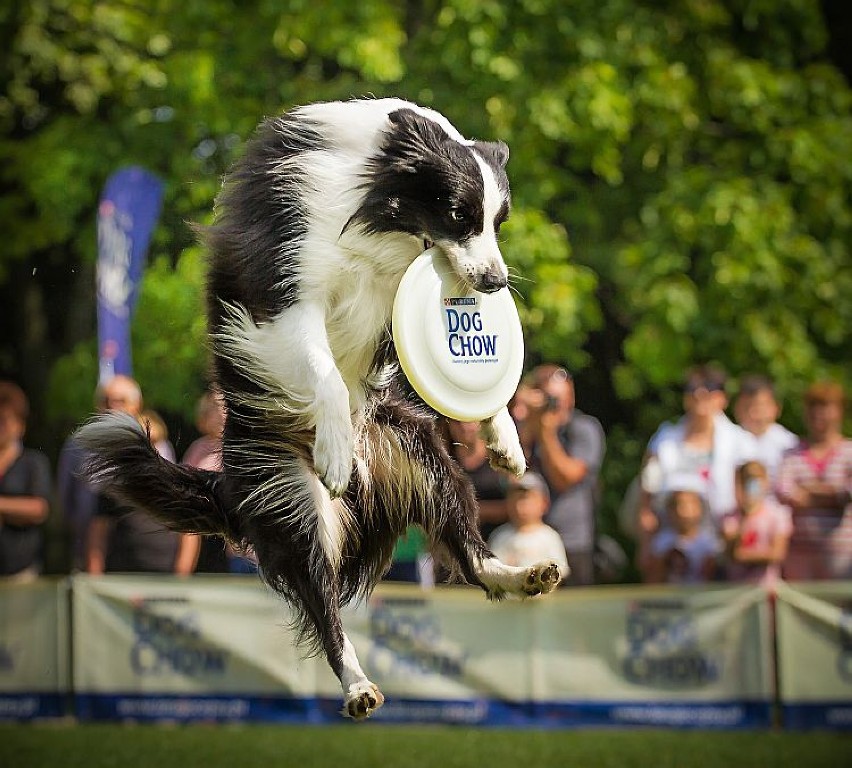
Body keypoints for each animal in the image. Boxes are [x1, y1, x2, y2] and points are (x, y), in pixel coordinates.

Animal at [76, 97, 564, 720]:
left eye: (496, 224)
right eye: (459, 215)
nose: (496, 281)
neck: (374, 199)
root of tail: (225, 483)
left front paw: (507, 441)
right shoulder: (285, 292)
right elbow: (327, 376)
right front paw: (334, 453)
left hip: (425, 458)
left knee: (469, 549)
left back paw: (524, 576)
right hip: (291, 502)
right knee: (324, 605)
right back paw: (357, 684)